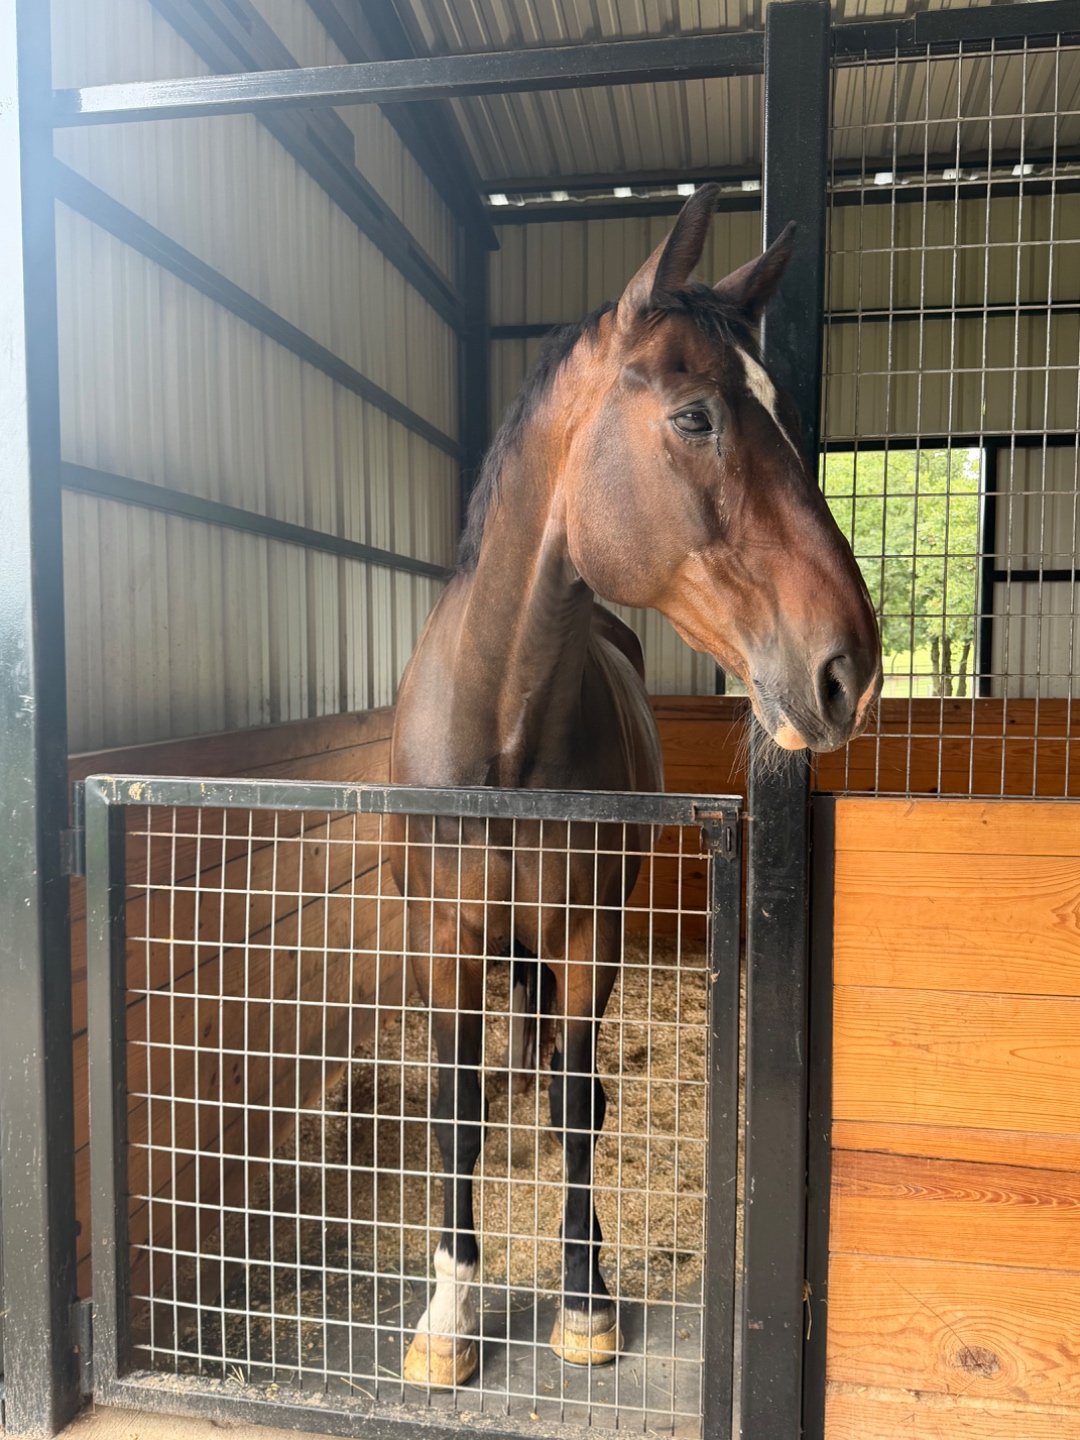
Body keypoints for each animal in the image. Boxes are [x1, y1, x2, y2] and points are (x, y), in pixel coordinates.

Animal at [388, 184, 882, 1388]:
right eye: (696, 418)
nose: (849, 668)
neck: (499, 741)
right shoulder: (443, 939)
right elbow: (457, 1109)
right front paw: (448, 1315)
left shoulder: (583, 936)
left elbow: (579, 1102)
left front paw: (584, 1301)